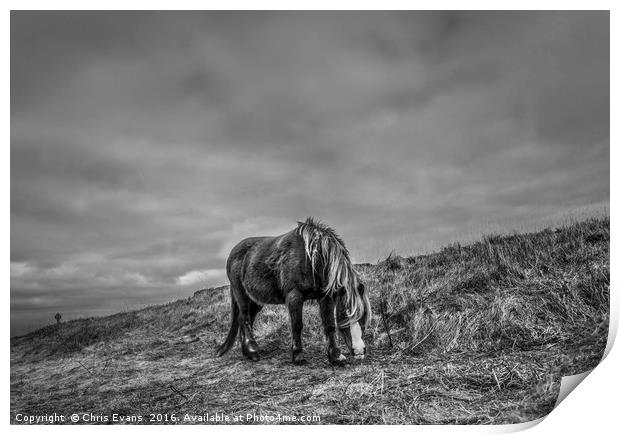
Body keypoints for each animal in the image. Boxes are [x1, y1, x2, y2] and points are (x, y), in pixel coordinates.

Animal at [217, 217, 370, 364]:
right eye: (344, 315)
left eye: (363, 315)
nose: (359, 351)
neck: (311, 259)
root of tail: (234, 252)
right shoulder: (295, 296)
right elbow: (297, 325)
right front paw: (298, 356)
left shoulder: (325, 297)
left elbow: (329, 325)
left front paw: (335, 357)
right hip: (241, 294)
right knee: (244, 318)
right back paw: (252, 351)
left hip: (256, 300)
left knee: (248, 318)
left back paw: (247, 352)